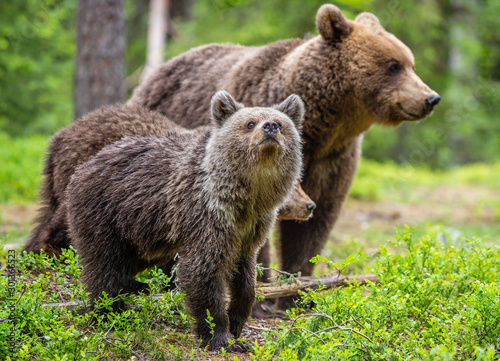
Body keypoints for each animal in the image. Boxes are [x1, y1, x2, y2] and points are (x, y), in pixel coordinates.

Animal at [128, 4, 438, 276]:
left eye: (410, 63)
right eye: (393, 66)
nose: (430, 98)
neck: (324, 126)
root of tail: (157, 71)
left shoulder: (333, 158)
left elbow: (316, 221)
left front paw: (298, 284)